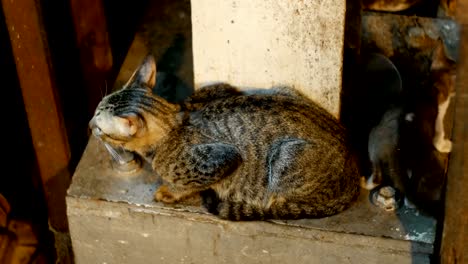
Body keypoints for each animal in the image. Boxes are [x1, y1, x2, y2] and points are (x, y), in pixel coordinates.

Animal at [89, 55, 360, 221]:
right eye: (94, 112)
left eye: (100, 128)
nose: (89, 125)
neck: (175, 118)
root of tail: (354, 168)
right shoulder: (223, 88)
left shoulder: (222, 159)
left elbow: (189, 183)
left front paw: (170, 191)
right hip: (283, 90)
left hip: (285, 157)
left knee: (277, 202)